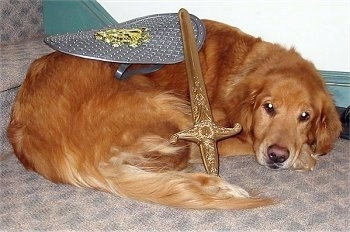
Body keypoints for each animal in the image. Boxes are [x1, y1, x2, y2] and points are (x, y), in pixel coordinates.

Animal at [7, 19, 342, 208]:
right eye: (268, 107)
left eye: (305, 116)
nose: (277, 156)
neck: (247, 65)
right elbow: (248, 143)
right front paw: (304, 157)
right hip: (164, 103)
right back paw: (224, 185)